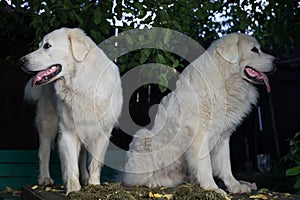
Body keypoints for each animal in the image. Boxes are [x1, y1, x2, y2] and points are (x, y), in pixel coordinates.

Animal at [19, 28, 122, 194]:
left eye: (47, 46)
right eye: (40, 45)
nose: (21, 61)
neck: (82, 84)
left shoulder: (102, 132)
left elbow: (95, 163)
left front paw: (93, 185)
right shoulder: (68, 131)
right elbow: (71, 165)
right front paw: (73, 190)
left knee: (81, 156)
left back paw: (85, 178)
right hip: (48, 123)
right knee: (44, 151)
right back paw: (45, 178)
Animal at [122, 33, 276, 195]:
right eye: (254, 50)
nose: (276, 61)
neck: (224, 79)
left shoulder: (223, 136)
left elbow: (226, 164)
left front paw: (234, 185)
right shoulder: (200, 136)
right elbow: (205, 165)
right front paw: (212, 188)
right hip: (143, 136)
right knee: (137, 178)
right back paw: (154, 182)